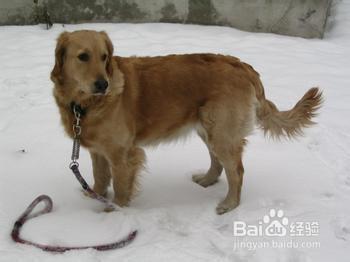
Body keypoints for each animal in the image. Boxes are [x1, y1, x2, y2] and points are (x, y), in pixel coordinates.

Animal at [51, 30, 322, 215]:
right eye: (83, 57)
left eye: (104, 57)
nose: (103, 84)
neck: (84, 105)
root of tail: (243, 66)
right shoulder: (98, 150)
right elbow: (99, 177)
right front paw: (94, 196)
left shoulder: (123, 154)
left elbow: (120, 185)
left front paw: (115, 210)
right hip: (208, 129)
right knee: (217, 163)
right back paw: (207, 180)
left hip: (221, 132)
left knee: (236, 171)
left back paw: (229, 204)